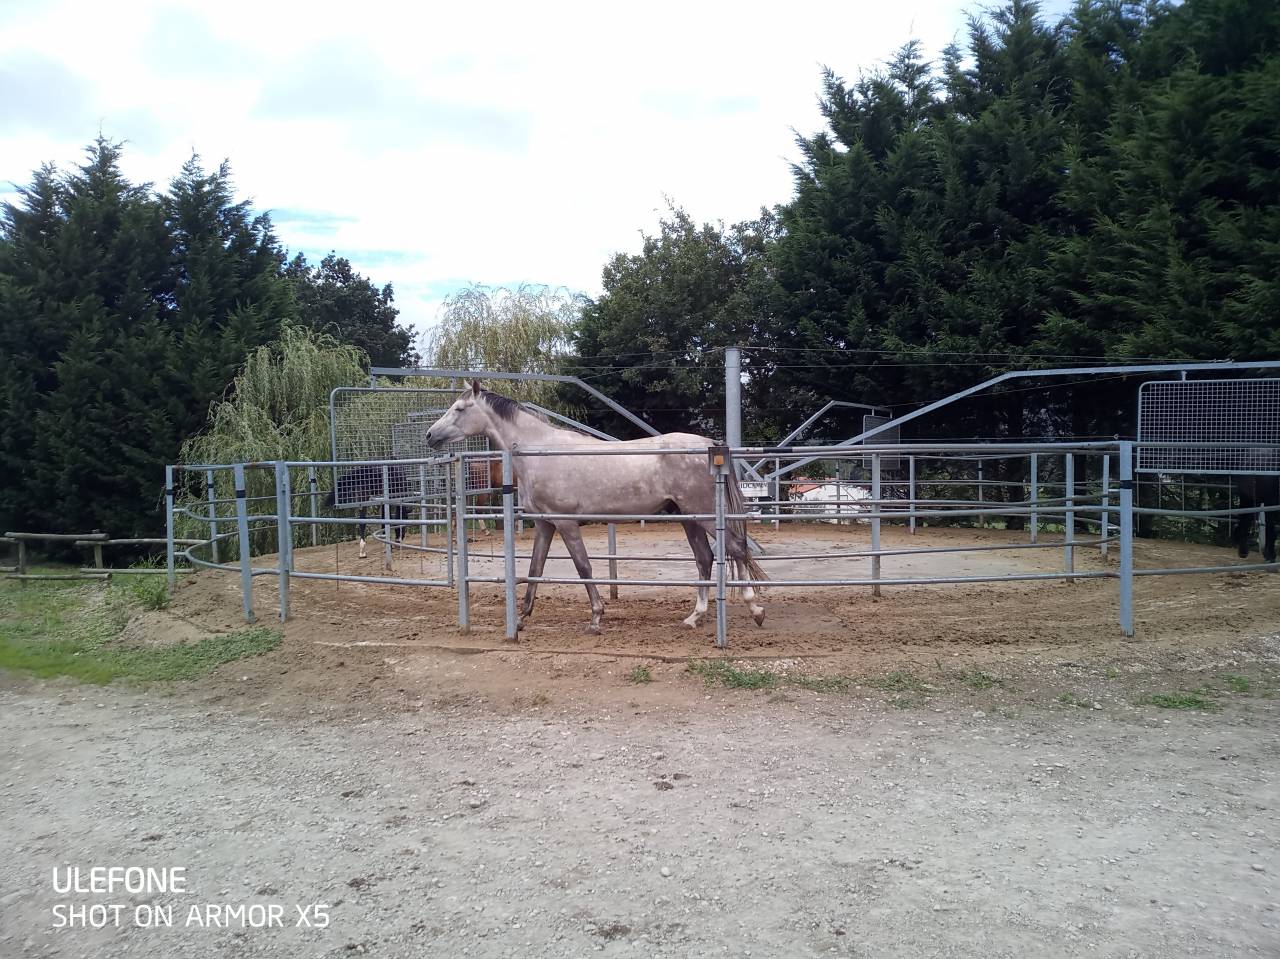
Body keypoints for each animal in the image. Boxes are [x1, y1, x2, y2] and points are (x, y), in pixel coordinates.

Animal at [423, 381, 766, 636]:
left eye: (460, 409)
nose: (430, 435)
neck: (541, 452)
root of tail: (710, 445)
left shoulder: (566, 523)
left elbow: (583, 567)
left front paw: (596, 618)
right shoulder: (545, 524)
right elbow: (535, 569)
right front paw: (520, 620)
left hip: (705, 515)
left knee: (736, 548)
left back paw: (755, 609)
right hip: (688, 517)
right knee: (705, 559)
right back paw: (695, 616)